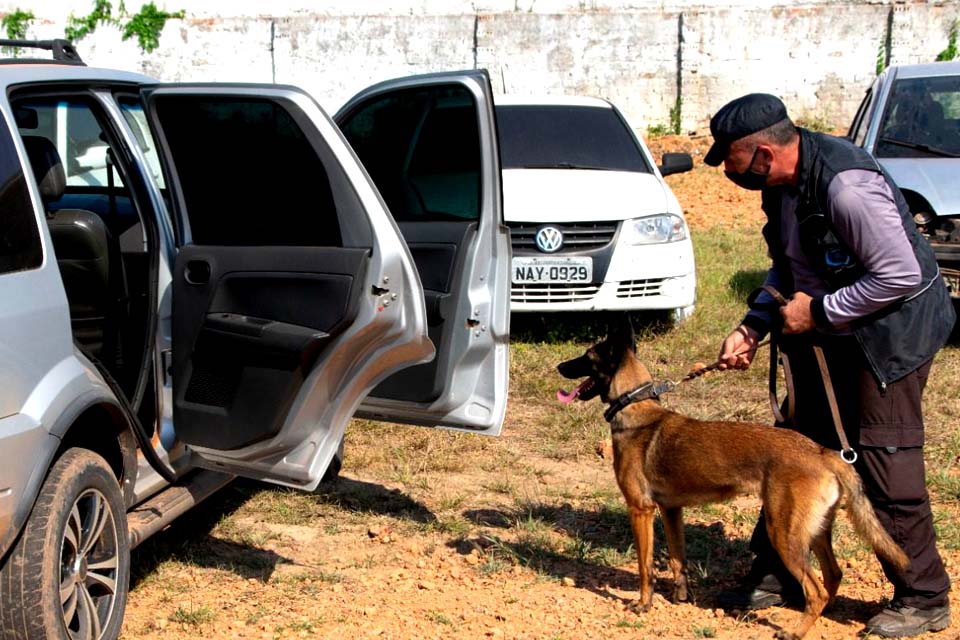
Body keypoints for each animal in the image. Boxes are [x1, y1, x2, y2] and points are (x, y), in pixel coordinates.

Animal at [556, 320, 908, 640]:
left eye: (587, 356)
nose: (559, 366)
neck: (636, 408)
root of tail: (824, 452)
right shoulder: (672, 511)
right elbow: (678, 560)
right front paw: (680, 596)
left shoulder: (640, 510)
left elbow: (646, 567)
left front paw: (644, 604)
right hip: (815, 530)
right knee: (832, 575)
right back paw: (818, 616)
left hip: (783, 532)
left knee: (816, 588)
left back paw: (795, 631)